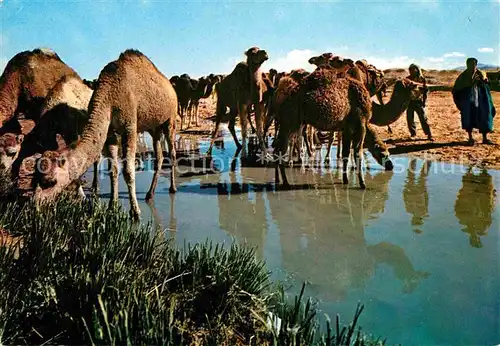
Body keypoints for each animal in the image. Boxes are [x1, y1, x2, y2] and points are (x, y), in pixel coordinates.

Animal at [33, 49, 178, 220]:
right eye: (37, 178)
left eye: (51, 181)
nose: (36, 204)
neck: (110, 95)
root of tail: (170, 86)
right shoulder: (110, 133)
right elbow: (113, 170)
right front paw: (111, 206)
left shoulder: (130, 127)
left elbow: (128, 170)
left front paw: (135, 212)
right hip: (154, 127)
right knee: (159, 156)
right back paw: (150, 194)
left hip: (170, 119)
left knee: (172, 151)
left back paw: (172, 188)